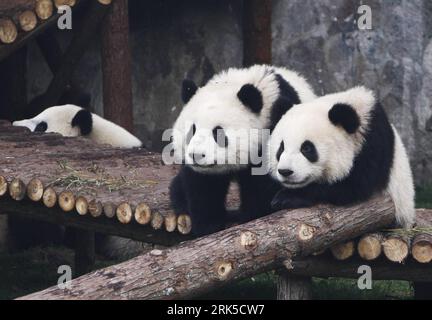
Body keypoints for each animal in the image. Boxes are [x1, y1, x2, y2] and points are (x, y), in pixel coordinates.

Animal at [170, 64, 316, 235]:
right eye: (192, 130)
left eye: (218, 132)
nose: (197, 155)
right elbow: (204, 188)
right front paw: (208, 227)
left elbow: (261, 188)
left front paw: (253, 217)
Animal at [270, 86, 416, 229]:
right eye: (281, 148)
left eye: (307, 148)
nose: (285, 171)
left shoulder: (373, 144)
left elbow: (353, 186)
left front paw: (286, 197)